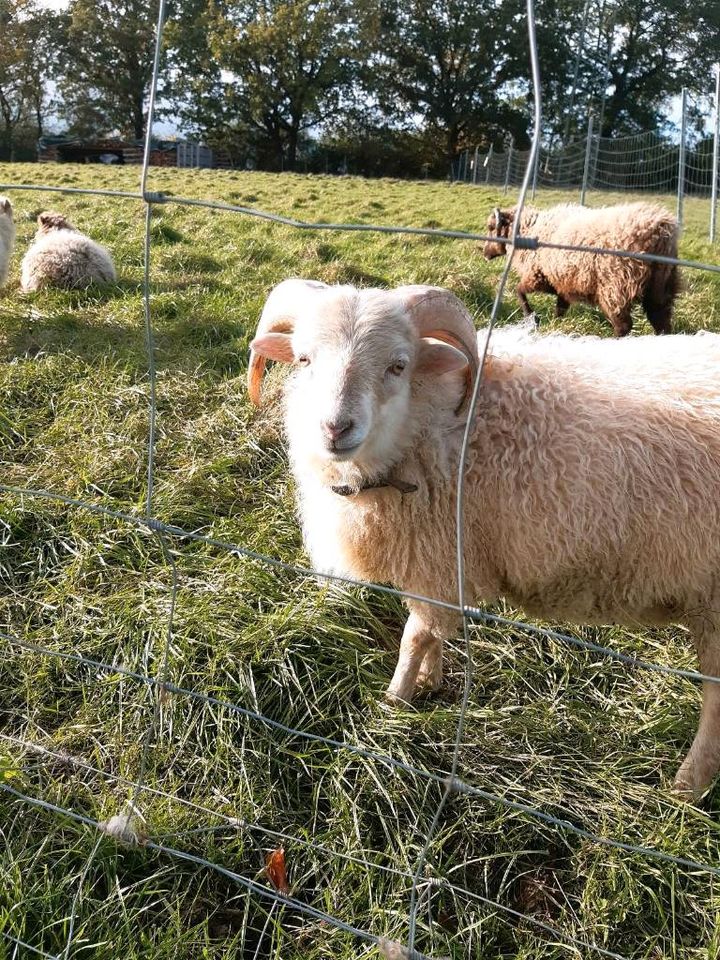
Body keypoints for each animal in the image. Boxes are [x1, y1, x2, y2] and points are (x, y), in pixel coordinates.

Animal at [252, 280, 720, 804]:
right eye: (304, 358)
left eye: (398, 365)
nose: (335, 428)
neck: (439, 423)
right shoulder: (434, 562)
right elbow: (431, 631)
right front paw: (430, 680)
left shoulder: (442, 557)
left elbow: (415, 636)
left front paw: (394, 703)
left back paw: (688, 784)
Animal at [484, 201, 680, 336]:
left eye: (492, 227)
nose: (484, 253)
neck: (528, 230)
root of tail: (659, 231)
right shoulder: (561, 283)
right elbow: (560, 308)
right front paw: (555, 325)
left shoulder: (538, 276)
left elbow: (519, 291)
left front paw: (532, 317)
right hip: (660, 287)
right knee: (661, 322)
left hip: (615, 286)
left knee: (623, 326)